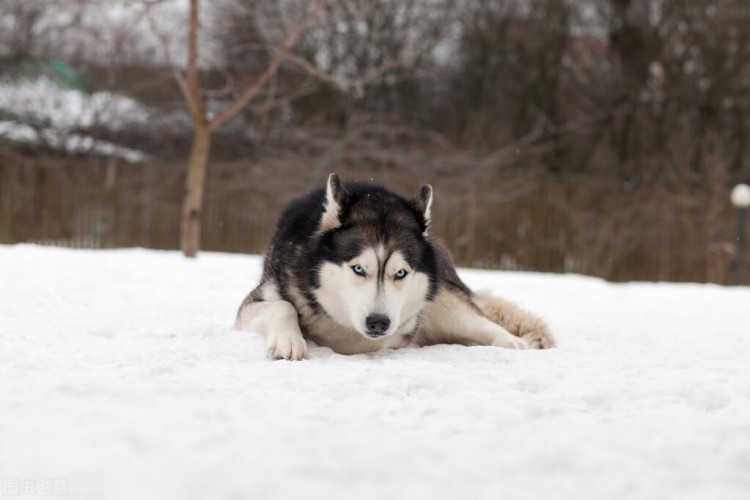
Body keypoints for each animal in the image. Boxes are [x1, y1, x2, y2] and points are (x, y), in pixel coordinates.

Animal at [236, 174, 560, 358]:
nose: (378, 323)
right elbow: (283, 306)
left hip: (446, 308)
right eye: (358, 269)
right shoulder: (253, 305)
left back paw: (513, 345)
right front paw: (290, 340)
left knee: (486, 324)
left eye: (400, 273)